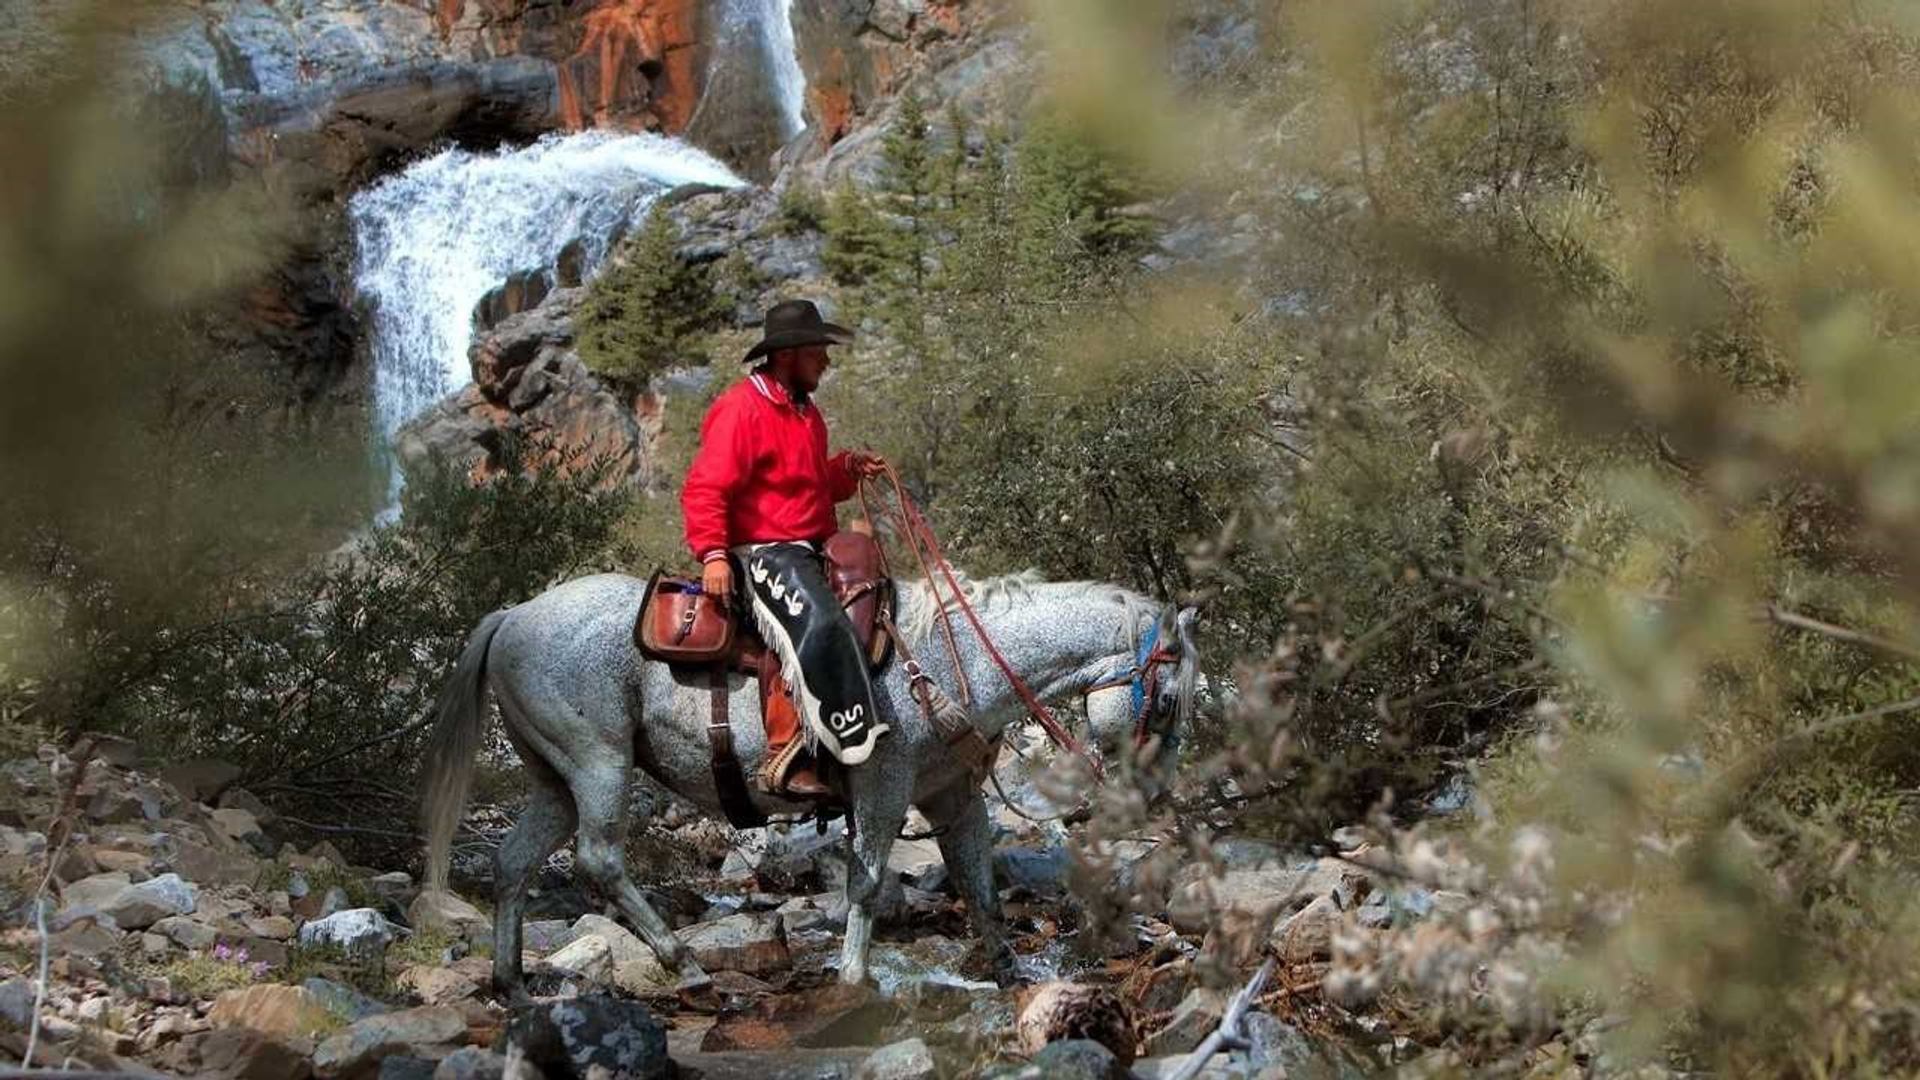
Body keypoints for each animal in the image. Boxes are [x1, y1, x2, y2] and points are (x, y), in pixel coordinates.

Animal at [418, 569, 1200, 993]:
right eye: (1165, 700)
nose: (1154, 799)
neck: (949, 663)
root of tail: (512, 615)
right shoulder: (882, 789)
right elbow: (867, 882)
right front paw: (855, 977)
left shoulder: (952, 797)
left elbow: (979, 884)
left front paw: (1012, 975)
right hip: (598, 762)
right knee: (600, 858)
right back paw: (683, 962)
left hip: (553, 778)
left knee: (514, 862)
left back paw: (513, 982)